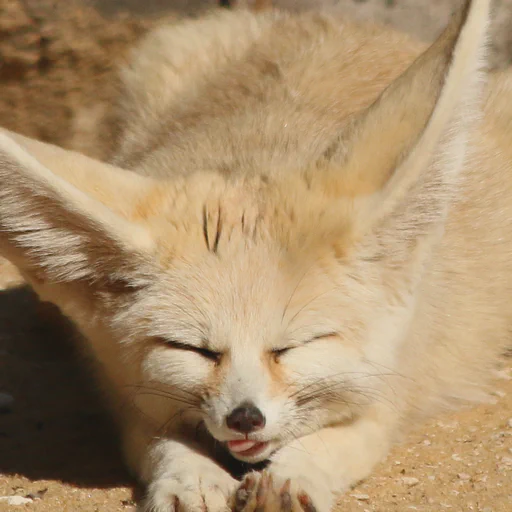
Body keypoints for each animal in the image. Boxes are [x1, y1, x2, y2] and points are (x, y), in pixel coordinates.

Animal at [0, 0, 508, 510]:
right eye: (194, 350)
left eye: (293, 346)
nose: (245, 417)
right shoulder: (125, 398)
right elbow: (163, 442)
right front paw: (189, 476)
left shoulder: (392, 388)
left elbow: (340, 440)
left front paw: (294, 476)